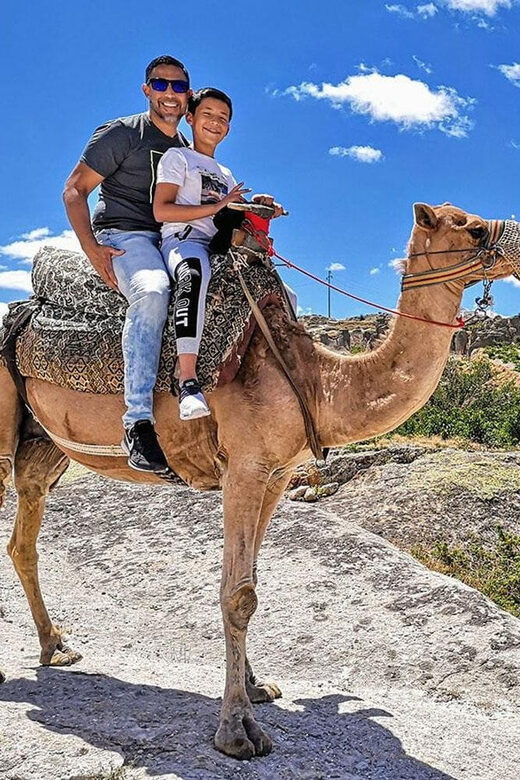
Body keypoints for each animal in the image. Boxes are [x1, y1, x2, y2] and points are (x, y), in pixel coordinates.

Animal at [0, 202, 516, 760]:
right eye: (471, 227)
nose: (514, 241)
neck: (314, 380)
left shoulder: (275, 474)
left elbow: (247, 582)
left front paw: (254, 686)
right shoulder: (244, 469)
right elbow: (238, 594)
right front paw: (237, 729)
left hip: (42, 444)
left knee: (23, 537)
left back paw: (56, 646)